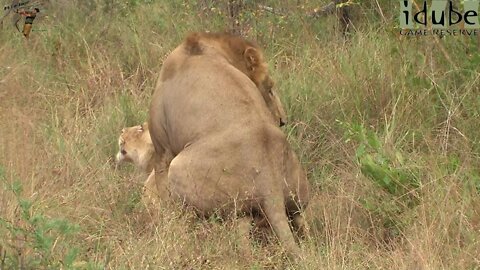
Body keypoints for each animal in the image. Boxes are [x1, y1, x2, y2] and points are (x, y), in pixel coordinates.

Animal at [148, 31, 310, 260]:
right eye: (270, 89)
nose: (282, 121)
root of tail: (269, 177)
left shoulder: (162, 148)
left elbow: (164, 195)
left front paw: (167, 226)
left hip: (180, 170)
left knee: (239, 233)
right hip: (297, 193)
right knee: (298, 220)